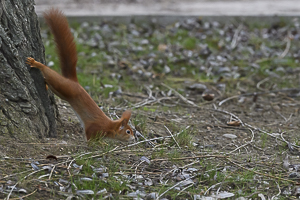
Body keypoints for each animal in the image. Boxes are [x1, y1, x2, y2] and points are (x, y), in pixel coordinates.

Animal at [27, 8, 135, 142]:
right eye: (128, 131)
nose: (134, 138)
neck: (110, 126)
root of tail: (74, 82)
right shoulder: (94, 127)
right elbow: (89, 136)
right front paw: (98, 144)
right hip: (63, 86)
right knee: (48, 72)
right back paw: (36, 63)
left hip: (61, 91)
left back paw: (45, 84)